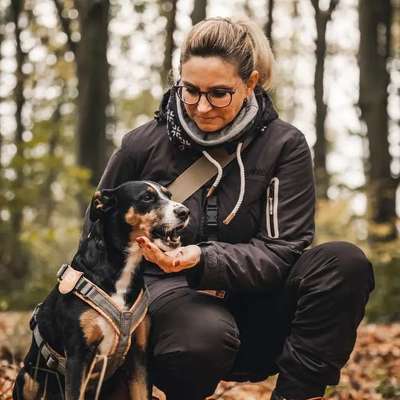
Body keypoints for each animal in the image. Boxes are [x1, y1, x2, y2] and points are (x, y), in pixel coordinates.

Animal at [13, 181, 191, 400]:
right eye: (147, 197)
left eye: (169, 195)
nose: (185, 212)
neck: (121, 269)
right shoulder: (77, 357)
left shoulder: (139, 358)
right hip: (27, 379)